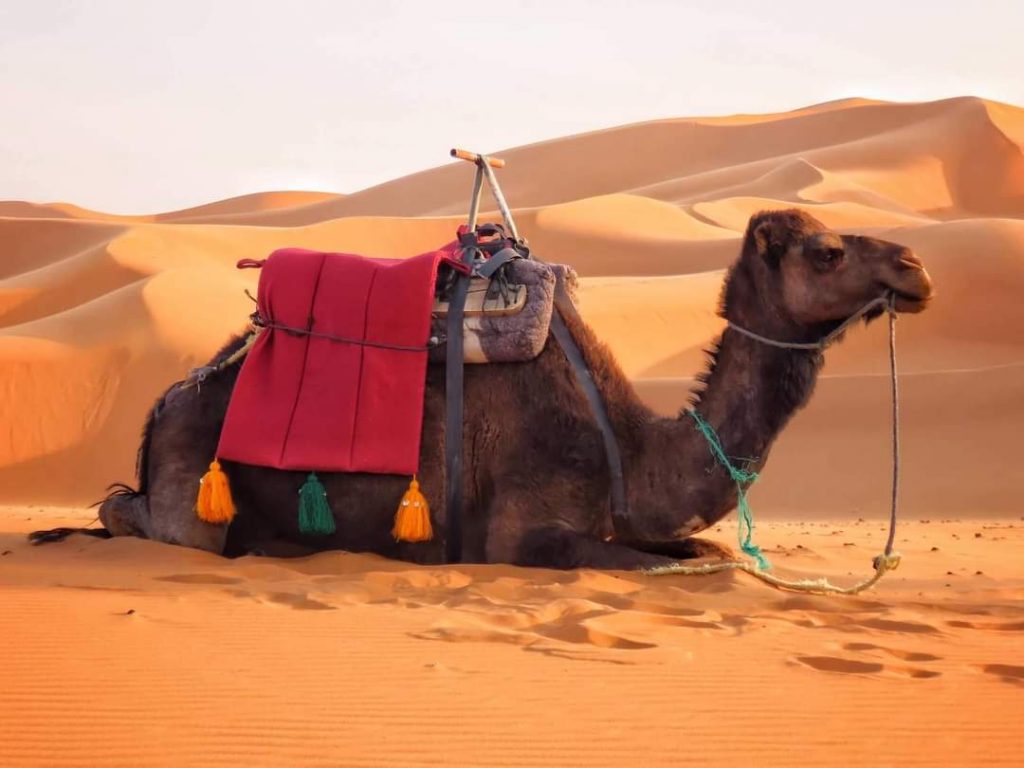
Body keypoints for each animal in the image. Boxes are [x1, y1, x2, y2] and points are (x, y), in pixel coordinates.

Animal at [60, 210, 933, 569]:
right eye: (825, 252)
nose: (916, 268)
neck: (627, 446)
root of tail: (161, 404)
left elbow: (706, 552)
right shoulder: (524, 532)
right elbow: (677, 567)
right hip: (191, 484)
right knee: (129, 512)